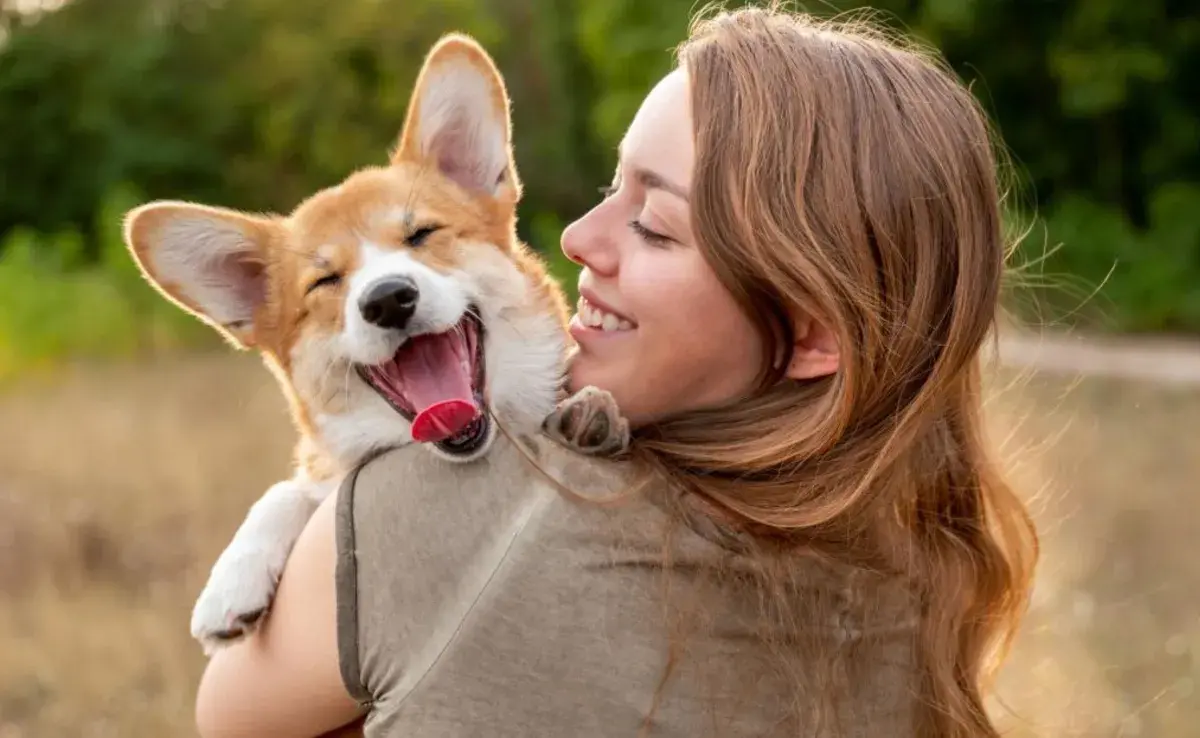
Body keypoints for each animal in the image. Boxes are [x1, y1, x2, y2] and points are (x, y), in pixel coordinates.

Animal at [121, 33, 628, 652]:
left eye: (421, 235)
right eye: (325, 281)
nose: (387, 299)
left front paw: (591, 414)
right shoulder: (324, 473)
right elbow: (287, 490)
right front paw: (231, 582)